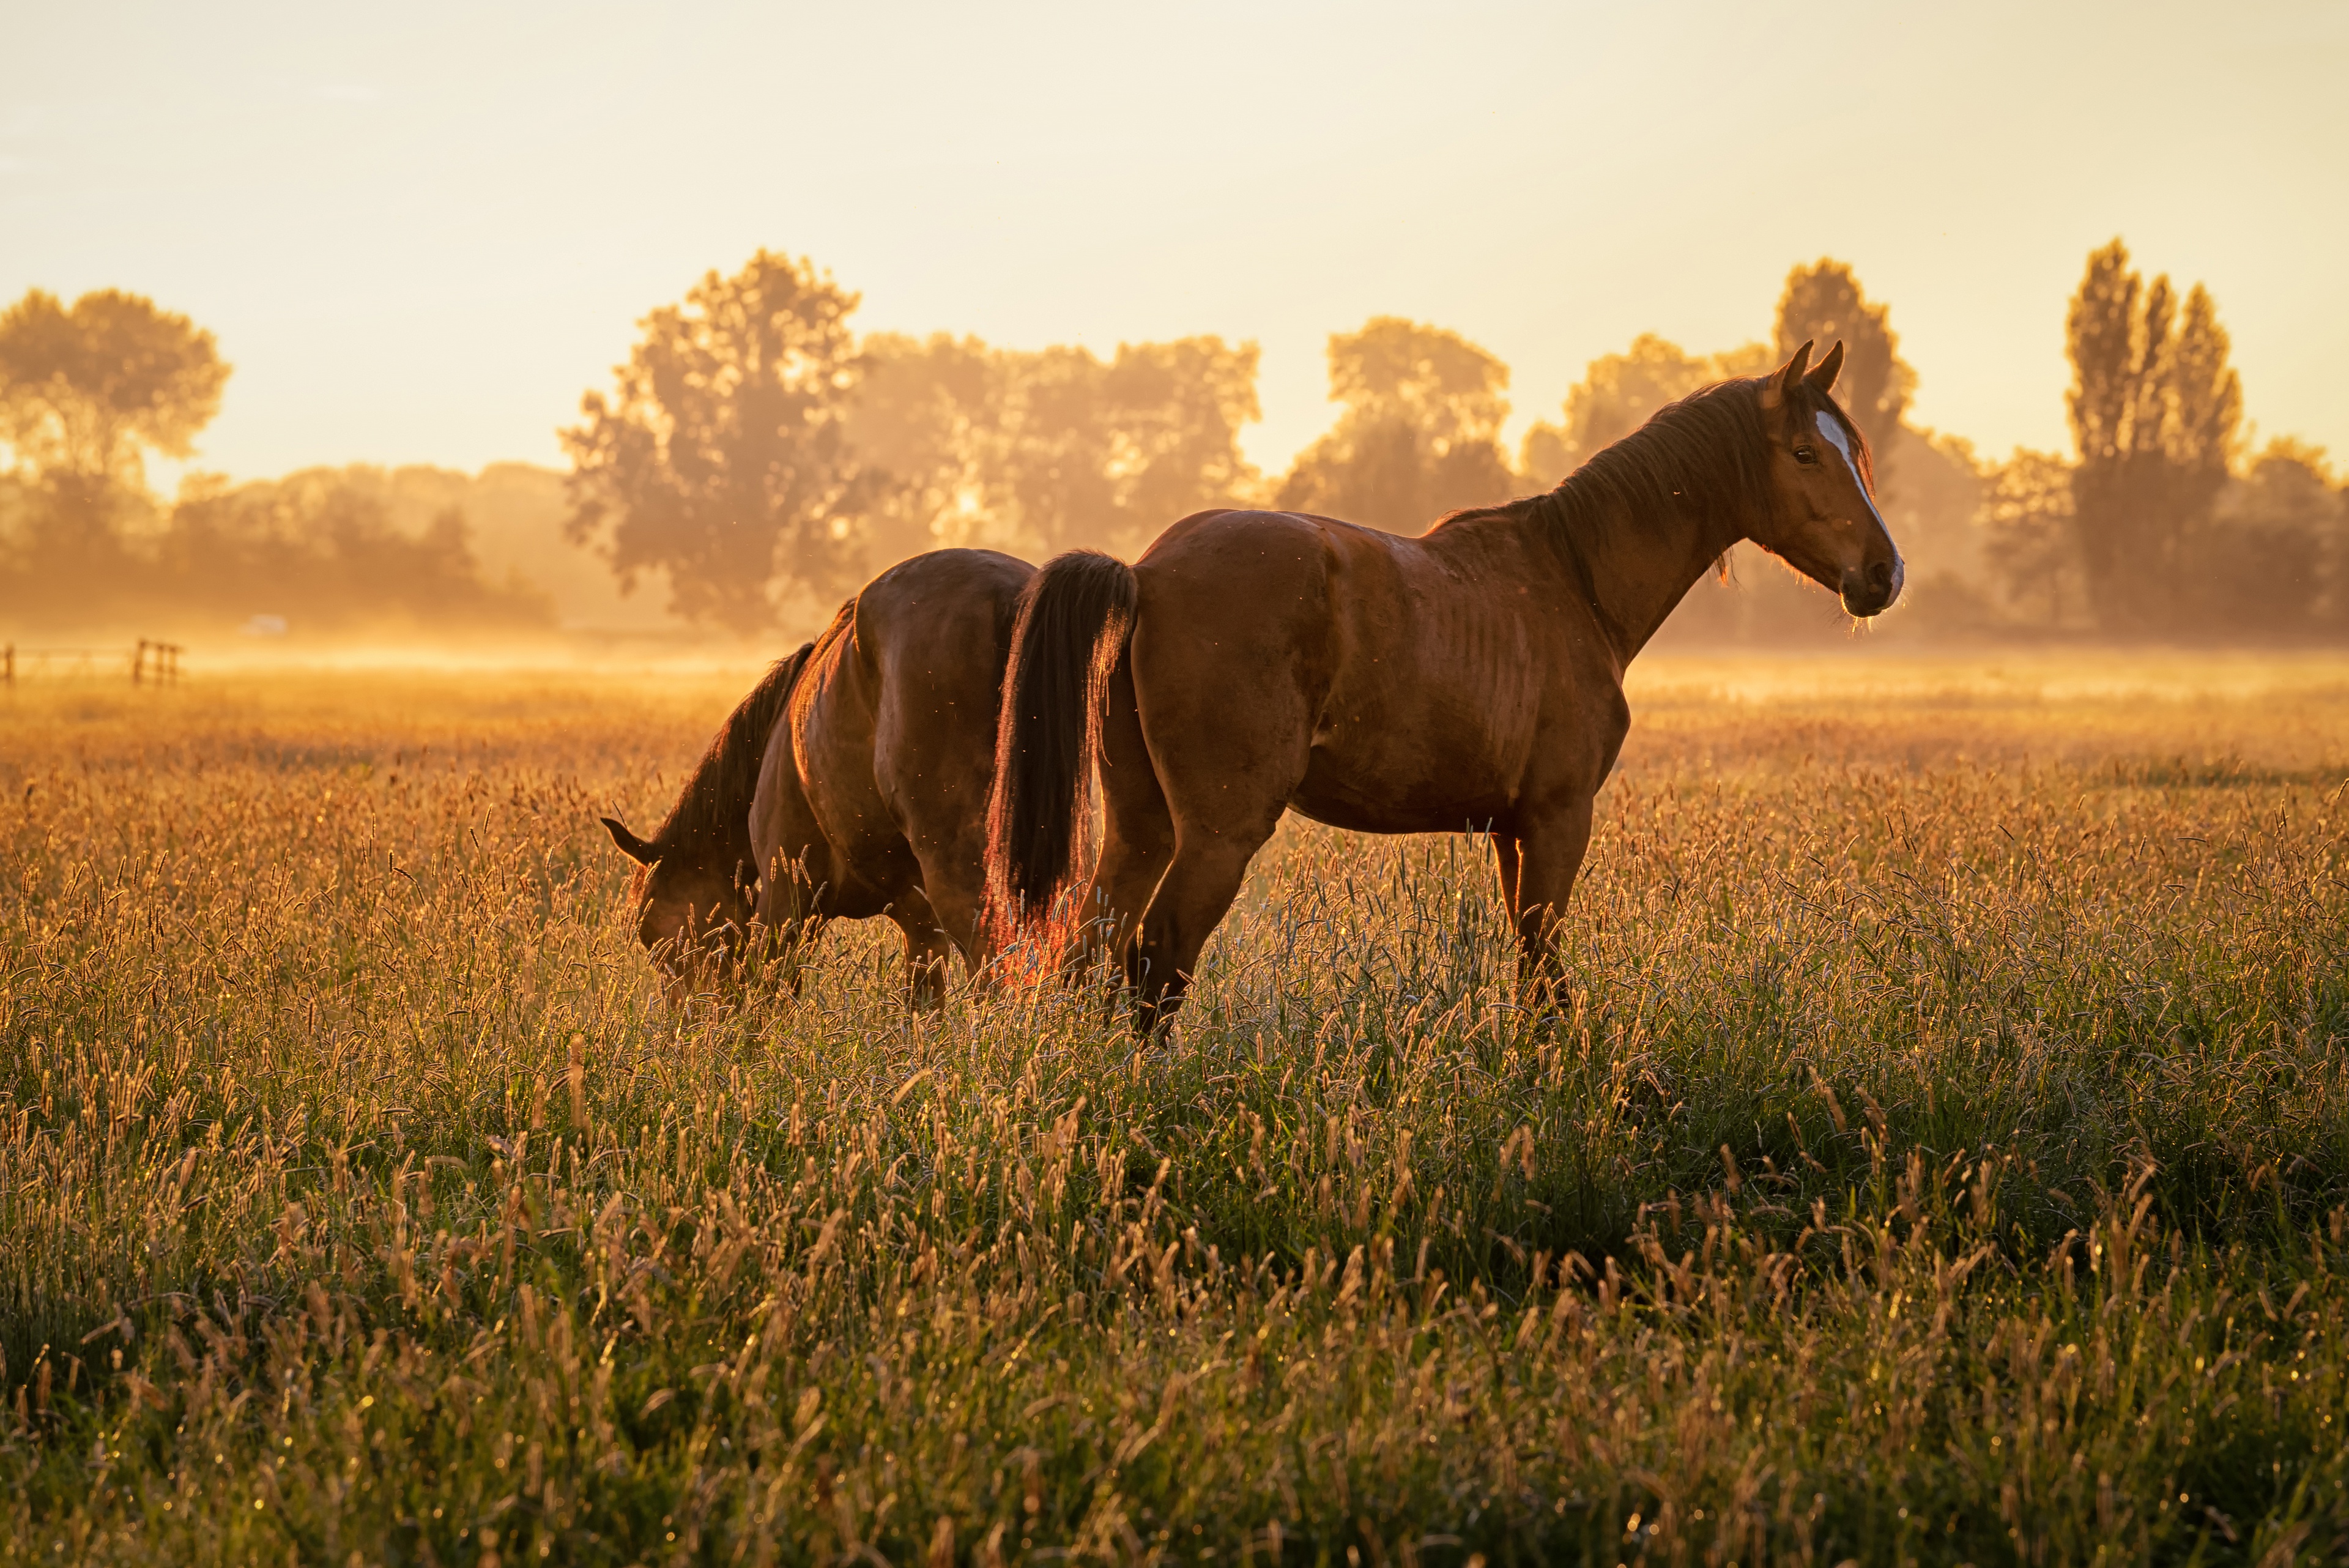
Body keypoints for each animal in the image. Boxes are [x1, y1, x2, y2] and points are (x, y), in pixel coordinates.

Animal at [601, 545, 1024, 1006]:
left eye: (653, 932)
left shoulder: (785, 898)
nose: (689, 1016)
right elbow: (924, 1002)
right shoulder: (917, 918)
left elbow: (770, 995)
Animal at [982, 345, 1898, 1030]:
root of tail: (1145, 573)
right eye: (1807, 453)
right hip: (1216, 833)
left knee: (1092, 946)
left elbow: (1533, 967)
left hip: (1140, 825)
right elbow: (1544, 967)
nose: (1884, 574)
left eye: (1854, 453)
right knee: (1158, 956)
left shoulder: (1511, 831)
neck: (1573, 578)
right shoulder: (1560, 818)